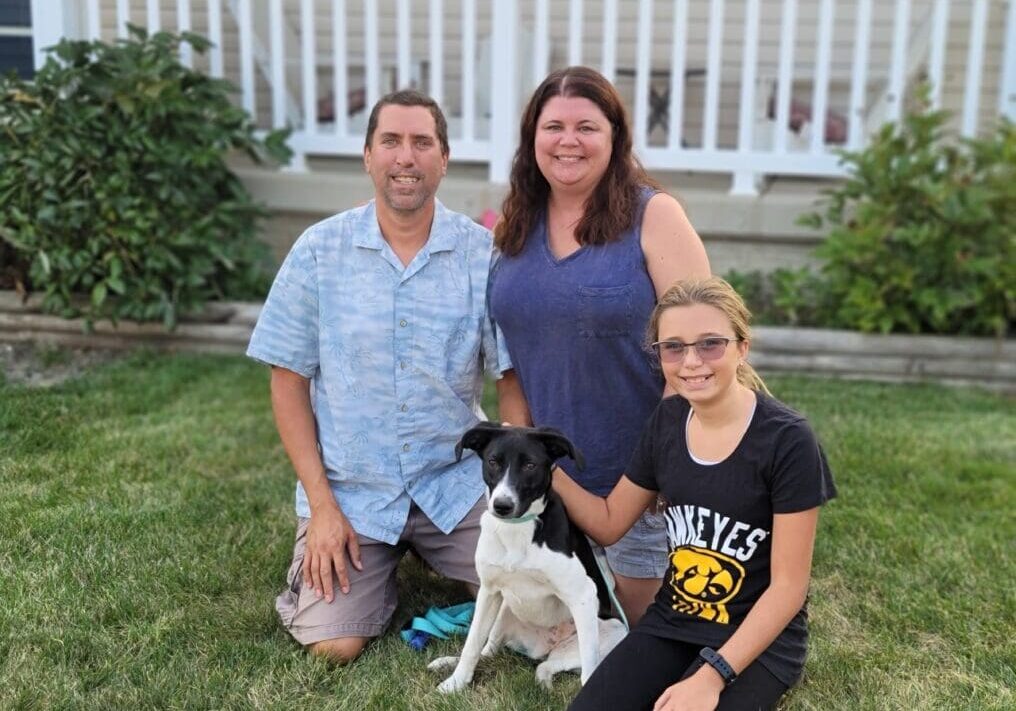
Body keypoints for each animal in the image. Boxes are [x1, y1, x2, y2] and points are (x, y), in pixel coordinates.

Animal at [430, 422, 625, 690]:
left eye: (530, 465)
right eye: (493, 461)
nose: (502, 506)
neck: (517, 529)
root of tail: (545, 645)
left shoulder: (582, 595)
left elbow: (590, 672)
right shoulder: (488, 591)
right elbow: (472, 644)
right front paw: (455, 684)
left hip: (610, 631)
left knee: (547, 666)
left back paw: (544, 686)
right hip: (503, 610)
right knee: (489, 651)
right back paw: (448, 662)